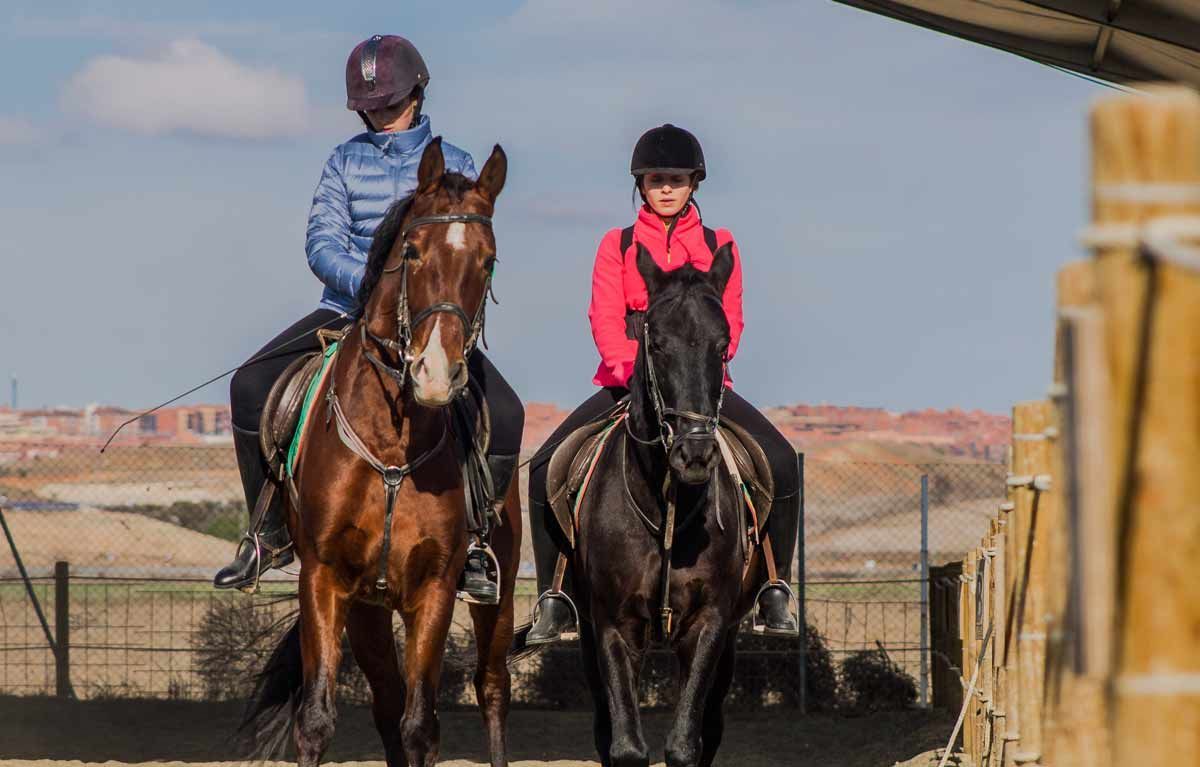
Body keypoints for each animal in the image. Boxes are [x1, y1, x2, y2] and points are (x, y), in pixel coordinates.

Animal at [568, 243, 772, 767]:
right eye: (656, 342)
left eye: (723, 345)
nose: (694, 453)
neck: (666, 509)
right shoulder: (612, 625)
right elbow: (624, 746)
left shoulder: (710, 624)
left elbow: (684, 745)